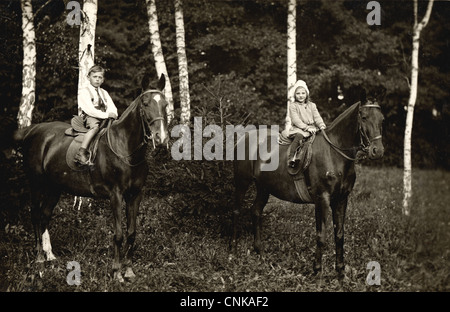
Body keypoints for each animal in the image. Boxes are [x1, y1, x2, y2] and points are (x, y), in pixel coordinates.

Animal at [14, 74, 169, 282]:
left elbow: (131, 233)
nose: (161, 138)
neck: (125, 150)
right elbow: (118, 234)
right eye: (145, 103)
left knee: (45, 215)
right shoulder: (115, 195)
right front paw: (116, 272)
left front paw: (129, 271)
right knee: (36, 215)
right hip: (37, 184)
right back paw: (39, 259)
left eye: (165, 104)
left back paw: (50, 256)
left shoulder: (136, 195)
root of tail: (32, 131)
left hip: (54, 188)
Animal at [232, 92, 384, 278]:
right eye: (363, 117)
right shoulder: (322, 199)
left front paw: (340, 271)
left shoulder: (341, 199)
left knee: (255, 212)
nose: (378, 151)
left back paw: (259, 252)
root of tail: (243, 138)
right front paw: (317, 270)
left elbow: (339, 234)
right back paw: (233, 250)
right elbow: (321, 235)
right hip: (242, 182)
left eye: (382, 119)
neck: (334, 154)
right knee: (237, 211)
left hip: (263, 188)